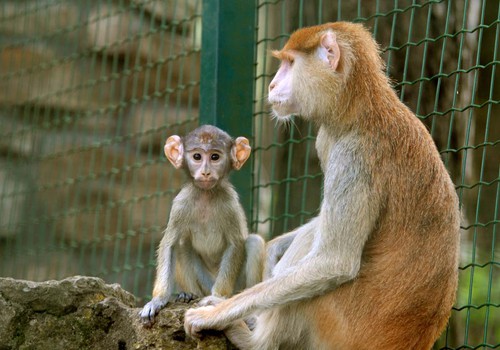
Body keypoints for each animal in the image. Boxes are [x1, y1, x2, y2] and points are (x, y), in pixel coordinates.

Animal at [140, 124, 266, 324]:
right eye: (197, 156)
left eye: (215, 157)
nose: (206, 172)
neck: (206, 196)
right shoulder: (181, 204)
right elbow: (170, 245)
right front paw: (157, 300)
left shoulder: (229, 204)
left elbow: (235, 244)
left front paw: (217, 299)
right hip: (204, 282)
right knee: (182, 244)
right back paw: (189, 294)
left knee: (253, 242)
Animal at [185, 22, 460, 350]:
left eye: (291, 63)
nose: (272, 86)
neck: (358, 109)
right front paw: (274, 250)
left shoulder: (354, 157)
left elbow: (334, 263)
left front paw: (213, 314)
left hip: (340, 322)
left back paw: (256, 338)